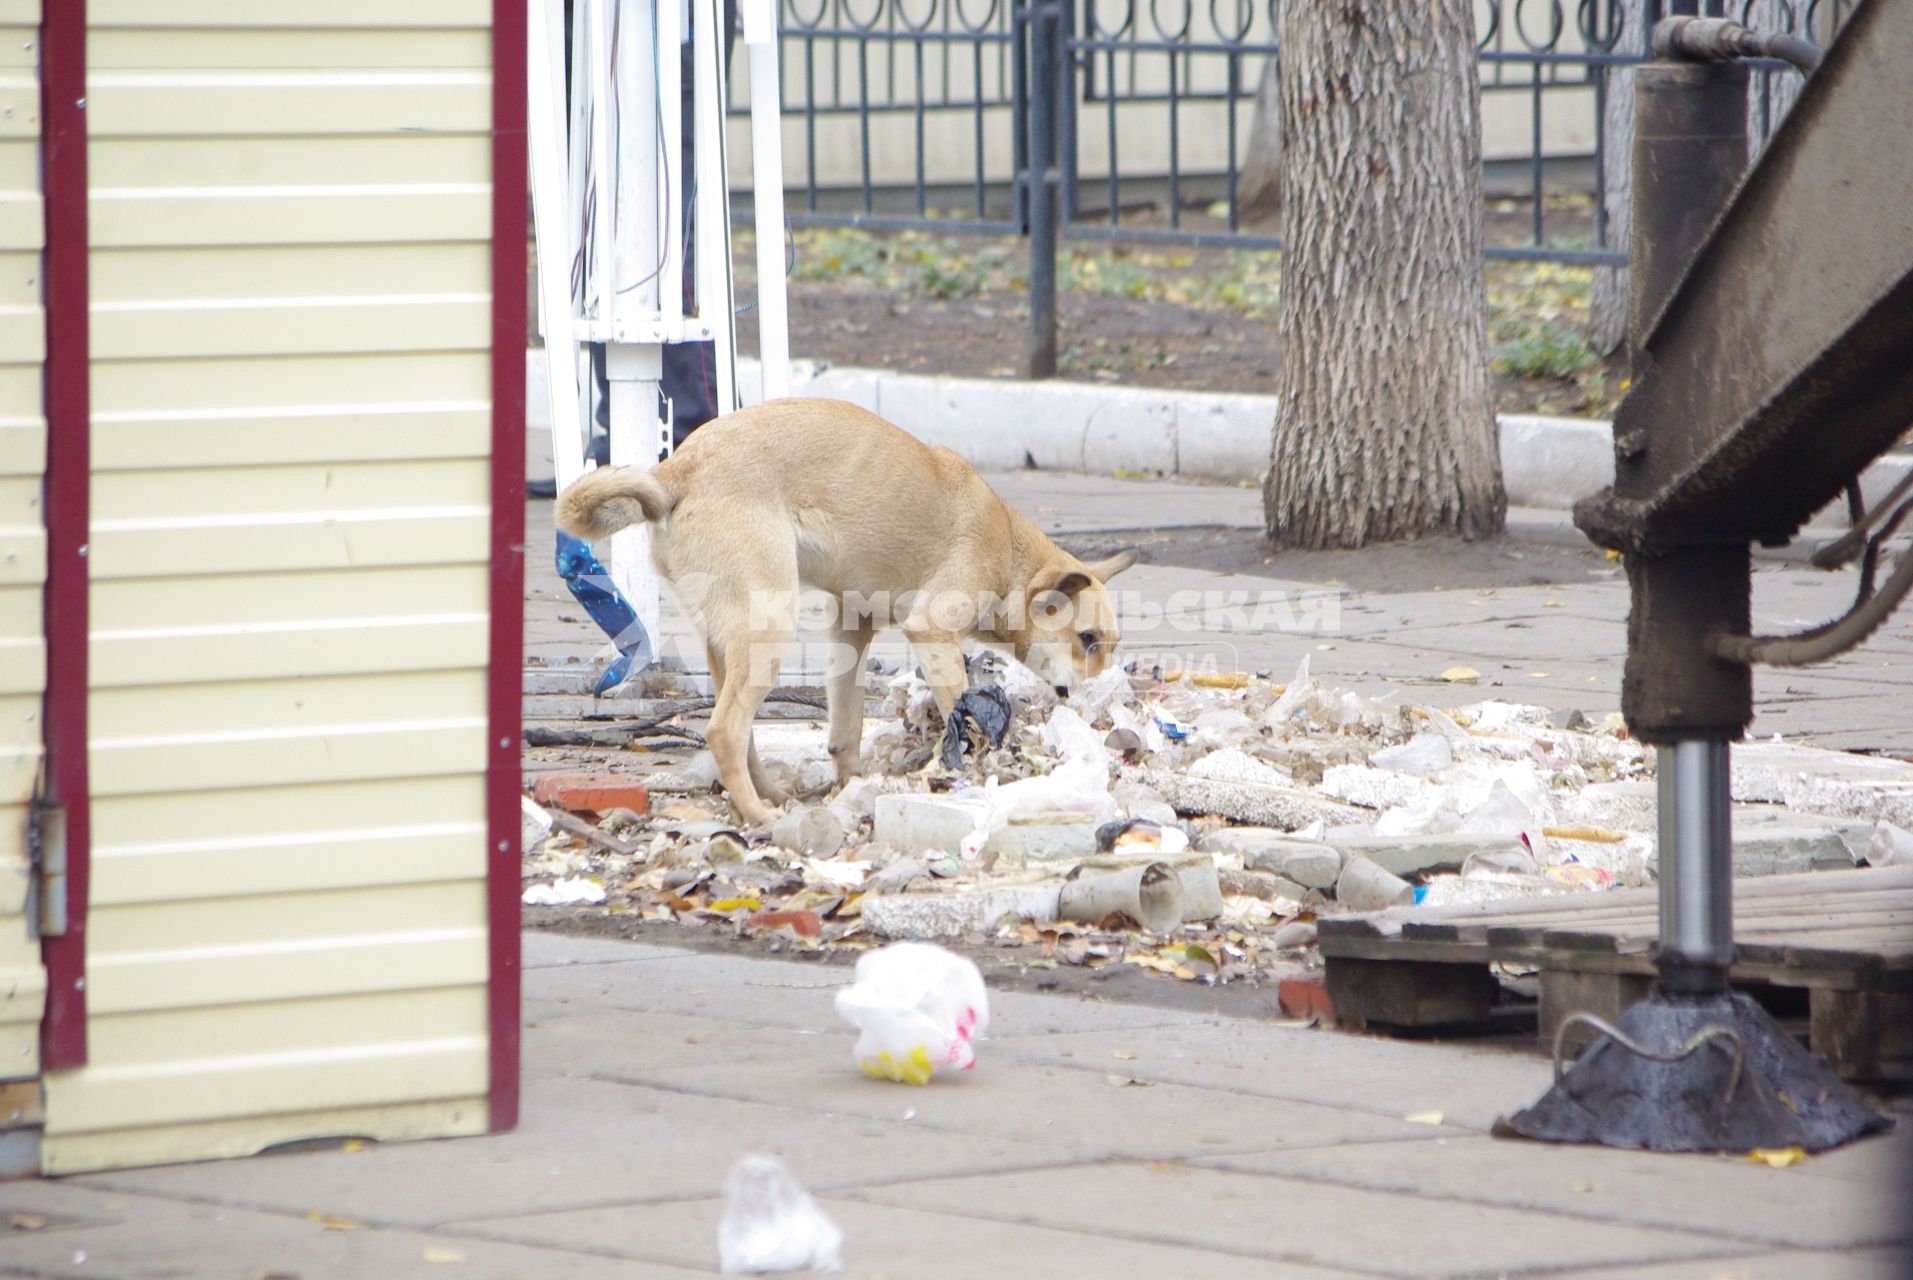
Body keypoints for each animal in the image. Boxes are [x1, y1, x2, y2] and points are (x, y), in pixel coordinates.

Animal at [554, 394, 1132, 822]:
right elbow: (961, 710)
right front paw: (982, 765)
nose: (1097, 701)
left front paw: (854, 784)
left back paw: (768, 796)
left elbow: (845, 728)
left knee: (739, 730)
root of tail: (679, 469)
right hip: (768, 633)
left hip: (727, 646)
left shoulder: (853, 629)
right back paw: (758, 816)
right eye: (1088, 640)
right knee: (724, 730)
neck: (1009, 553)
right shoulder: (932, 634)